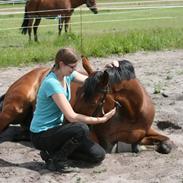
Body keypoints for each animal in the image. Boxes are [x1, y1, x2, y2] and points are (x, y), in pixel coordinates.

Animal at [0, 57, 172, 154]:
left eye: (94, 102)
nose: (67, 122)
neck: (132, 114)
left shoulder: (146, 131)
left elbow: (167, 142)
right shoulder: (103, 141)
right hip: (14, 108)